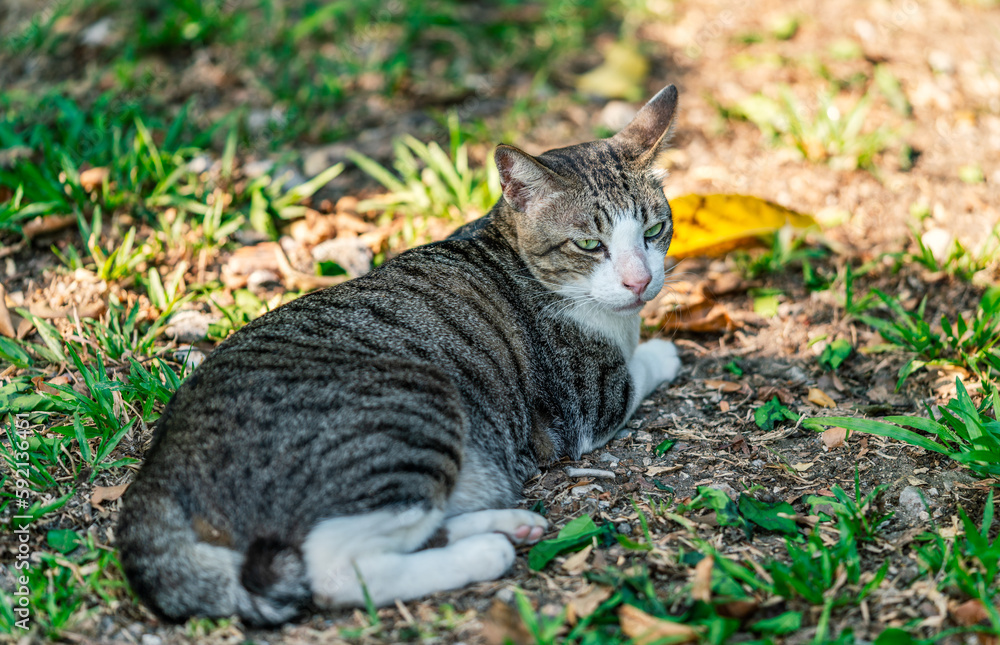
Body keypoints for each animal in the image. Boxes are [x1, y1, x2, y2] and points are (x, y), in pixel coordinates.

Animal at [115, 84, 680, 624]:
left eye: (654, 231)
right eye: (588, 245)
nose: (640, 281)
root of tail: (160, 470)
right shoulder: (587, 400)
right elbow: (638, 367)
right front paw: (665, 350)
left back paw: (508, 524)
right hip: (409, 411)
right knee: (338, 570)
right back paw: (486, 551)